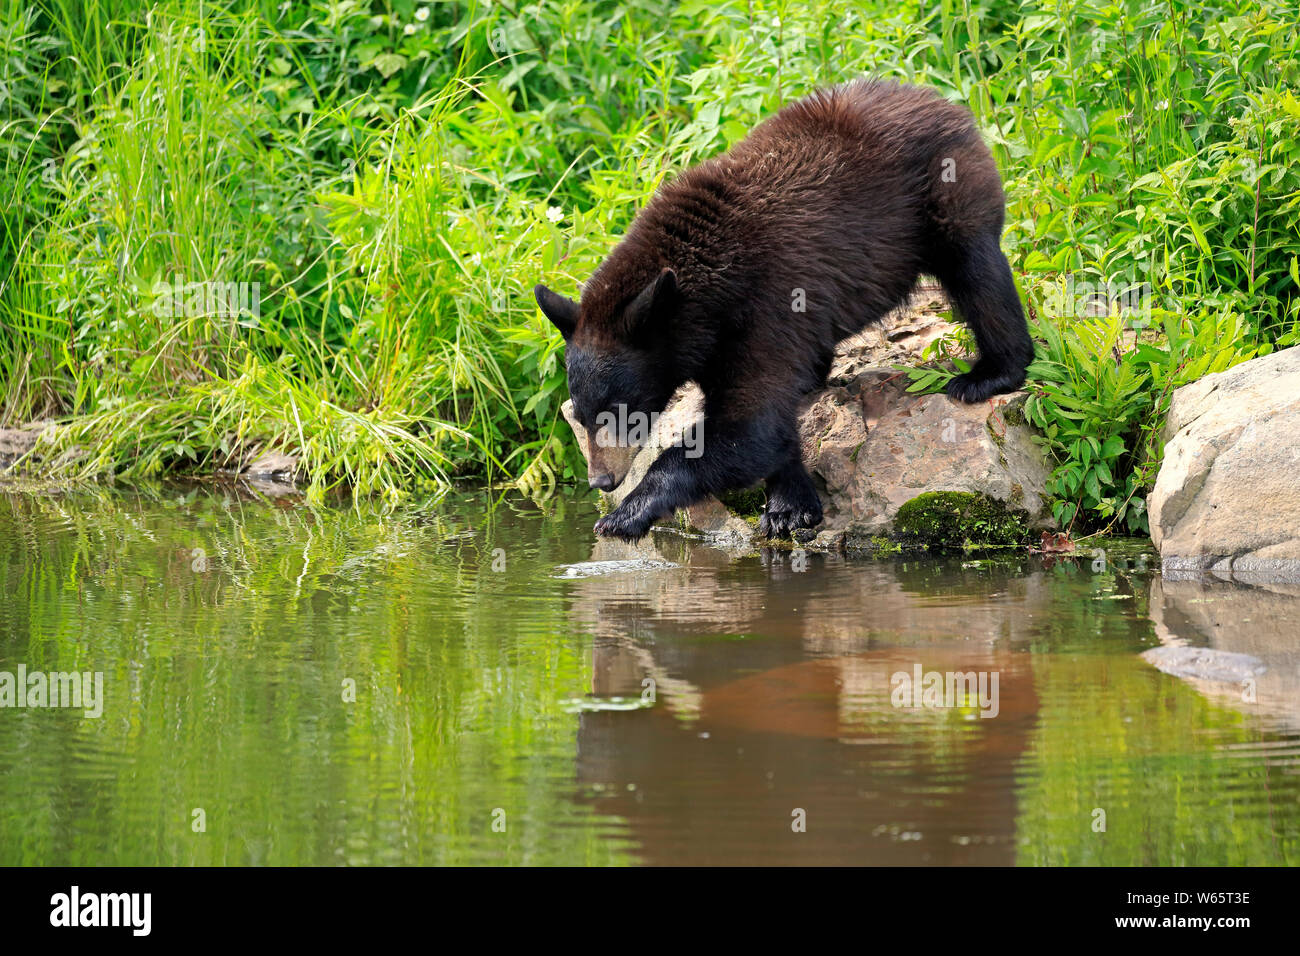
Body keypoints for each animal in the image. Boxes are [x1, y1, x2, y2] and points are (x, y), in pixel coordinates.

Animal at [534, 79, 1034, 541]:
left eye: (619, 408)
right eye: (581, 413)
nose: (602, 480)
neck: (709, 286)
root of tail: (938, 98)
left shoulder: (766, 305)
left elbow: (750, 427)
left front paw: (624, 514)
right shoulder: (722, 337)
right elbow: (766, 423)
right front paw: (790, 506)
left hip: (946, 191)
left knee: (979, 274)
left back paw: (988, 374)